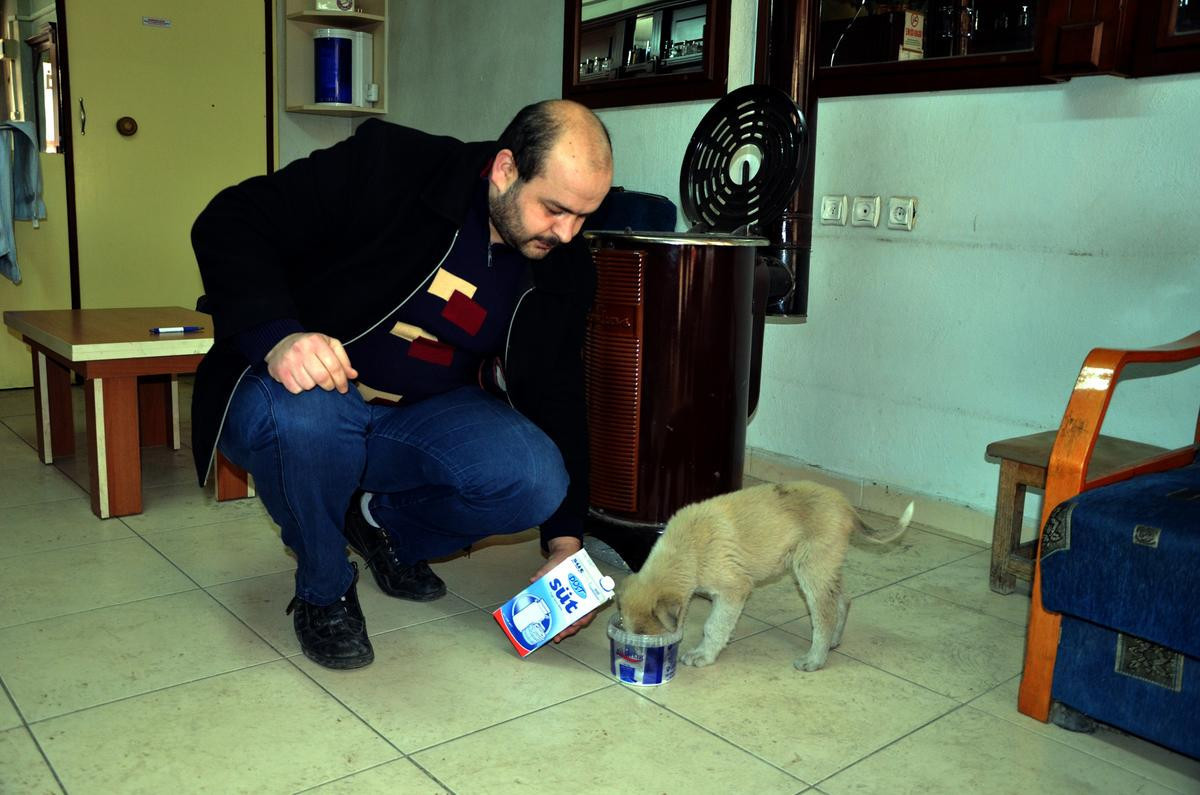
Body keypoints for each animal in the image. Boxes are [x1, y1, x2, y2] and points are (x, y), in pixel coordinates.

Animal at [616, 480, 913, 672]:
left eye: (644, 633)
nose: (635, 658)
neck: (687, 550)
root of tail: (846, 506)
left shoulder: (734, 588)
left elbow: (714, 626)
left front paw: (703, 655)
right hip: (827, 567)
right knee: (843, 600)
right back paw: (833, 642)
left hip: (811, 569)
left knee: (824, 616)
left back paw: (814, 660)